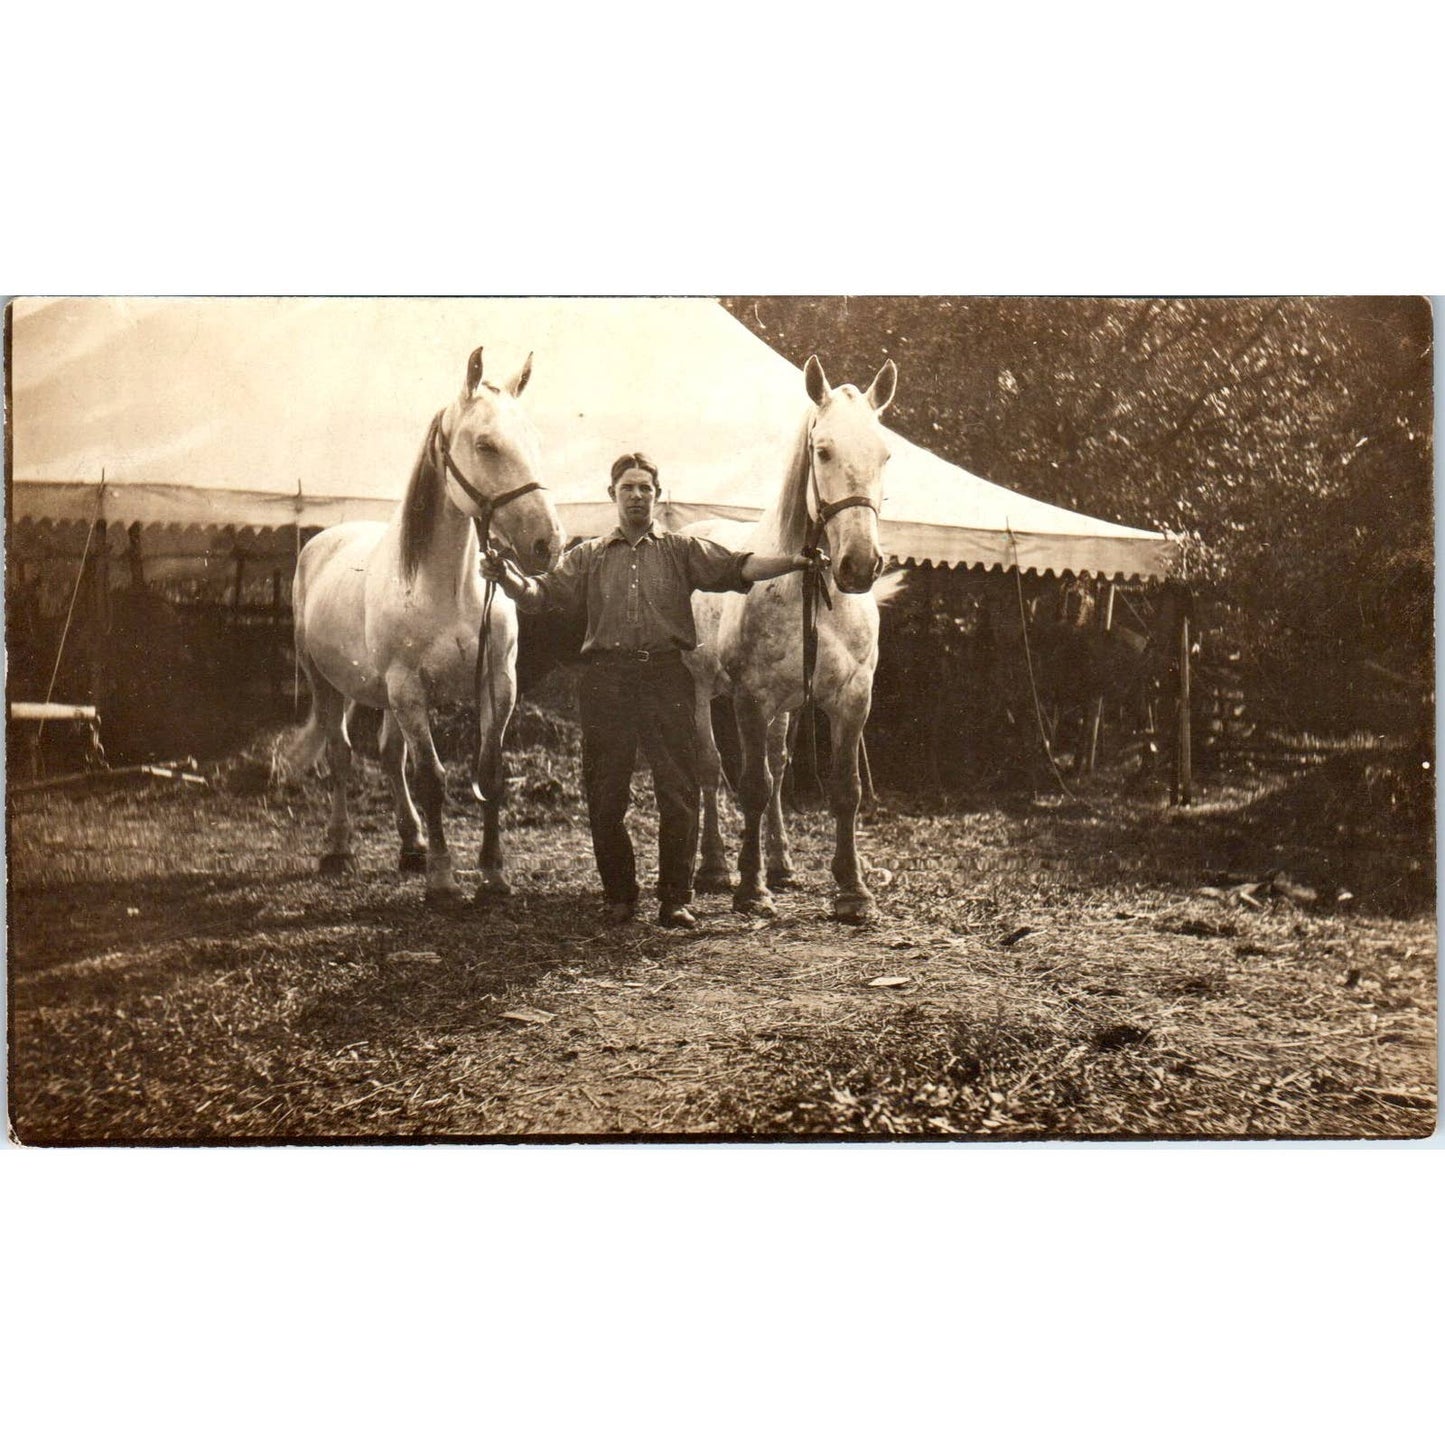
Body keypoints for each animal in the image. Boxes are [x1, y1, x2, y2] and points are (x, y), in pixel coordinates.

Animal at [289, 347, 565, 901]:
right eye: (485, 444)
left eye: (535, 440)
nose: (548, 543)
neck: (449, 589)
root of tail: (322, 542)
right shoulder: (408, 687)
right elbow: (433, 777)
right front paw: (442, 878)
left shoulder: (497, 682)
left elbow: (488, 774)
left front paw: (493, 873)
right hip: (328, 684)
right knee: (341, 756)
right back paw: (339, 849)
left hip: (384, 697)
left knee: (389, 756)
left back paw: (411, 844)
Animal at [683, 355, 900, 923]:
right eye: (822, 451)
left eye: (885, 454)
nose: (860, 566)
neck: (809, 587)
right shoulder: (751, 700)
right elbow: (751, 786)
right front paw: (750, 887)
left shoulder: (851, 699)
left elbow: (843, 789)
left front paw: (852, 889)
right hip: (700, 691)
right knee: (709, 770)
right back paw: (714, 867)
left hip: (785, 707)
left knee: (779, 769)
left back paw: (780, 864)